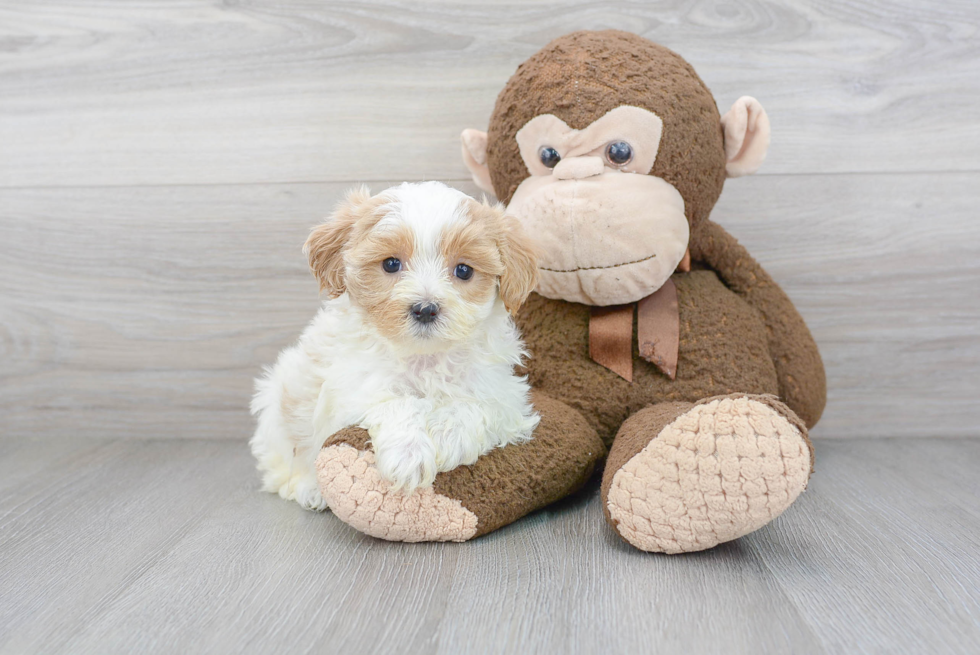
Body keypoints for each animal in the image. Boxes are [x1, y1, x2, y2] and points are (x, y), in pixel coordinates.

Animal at [249, 181, 540, 512]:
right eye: (391, 264)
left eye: (464, 270)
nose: (425, 309)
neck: (424, 357)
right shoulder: (352, 390)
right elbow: (396, 402)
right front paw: (408, 454)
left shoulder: (506, 397)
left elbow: (478, 405)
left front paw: (448, 435)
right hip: (277, 412)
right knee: (283, 467)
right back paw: (310, 488)